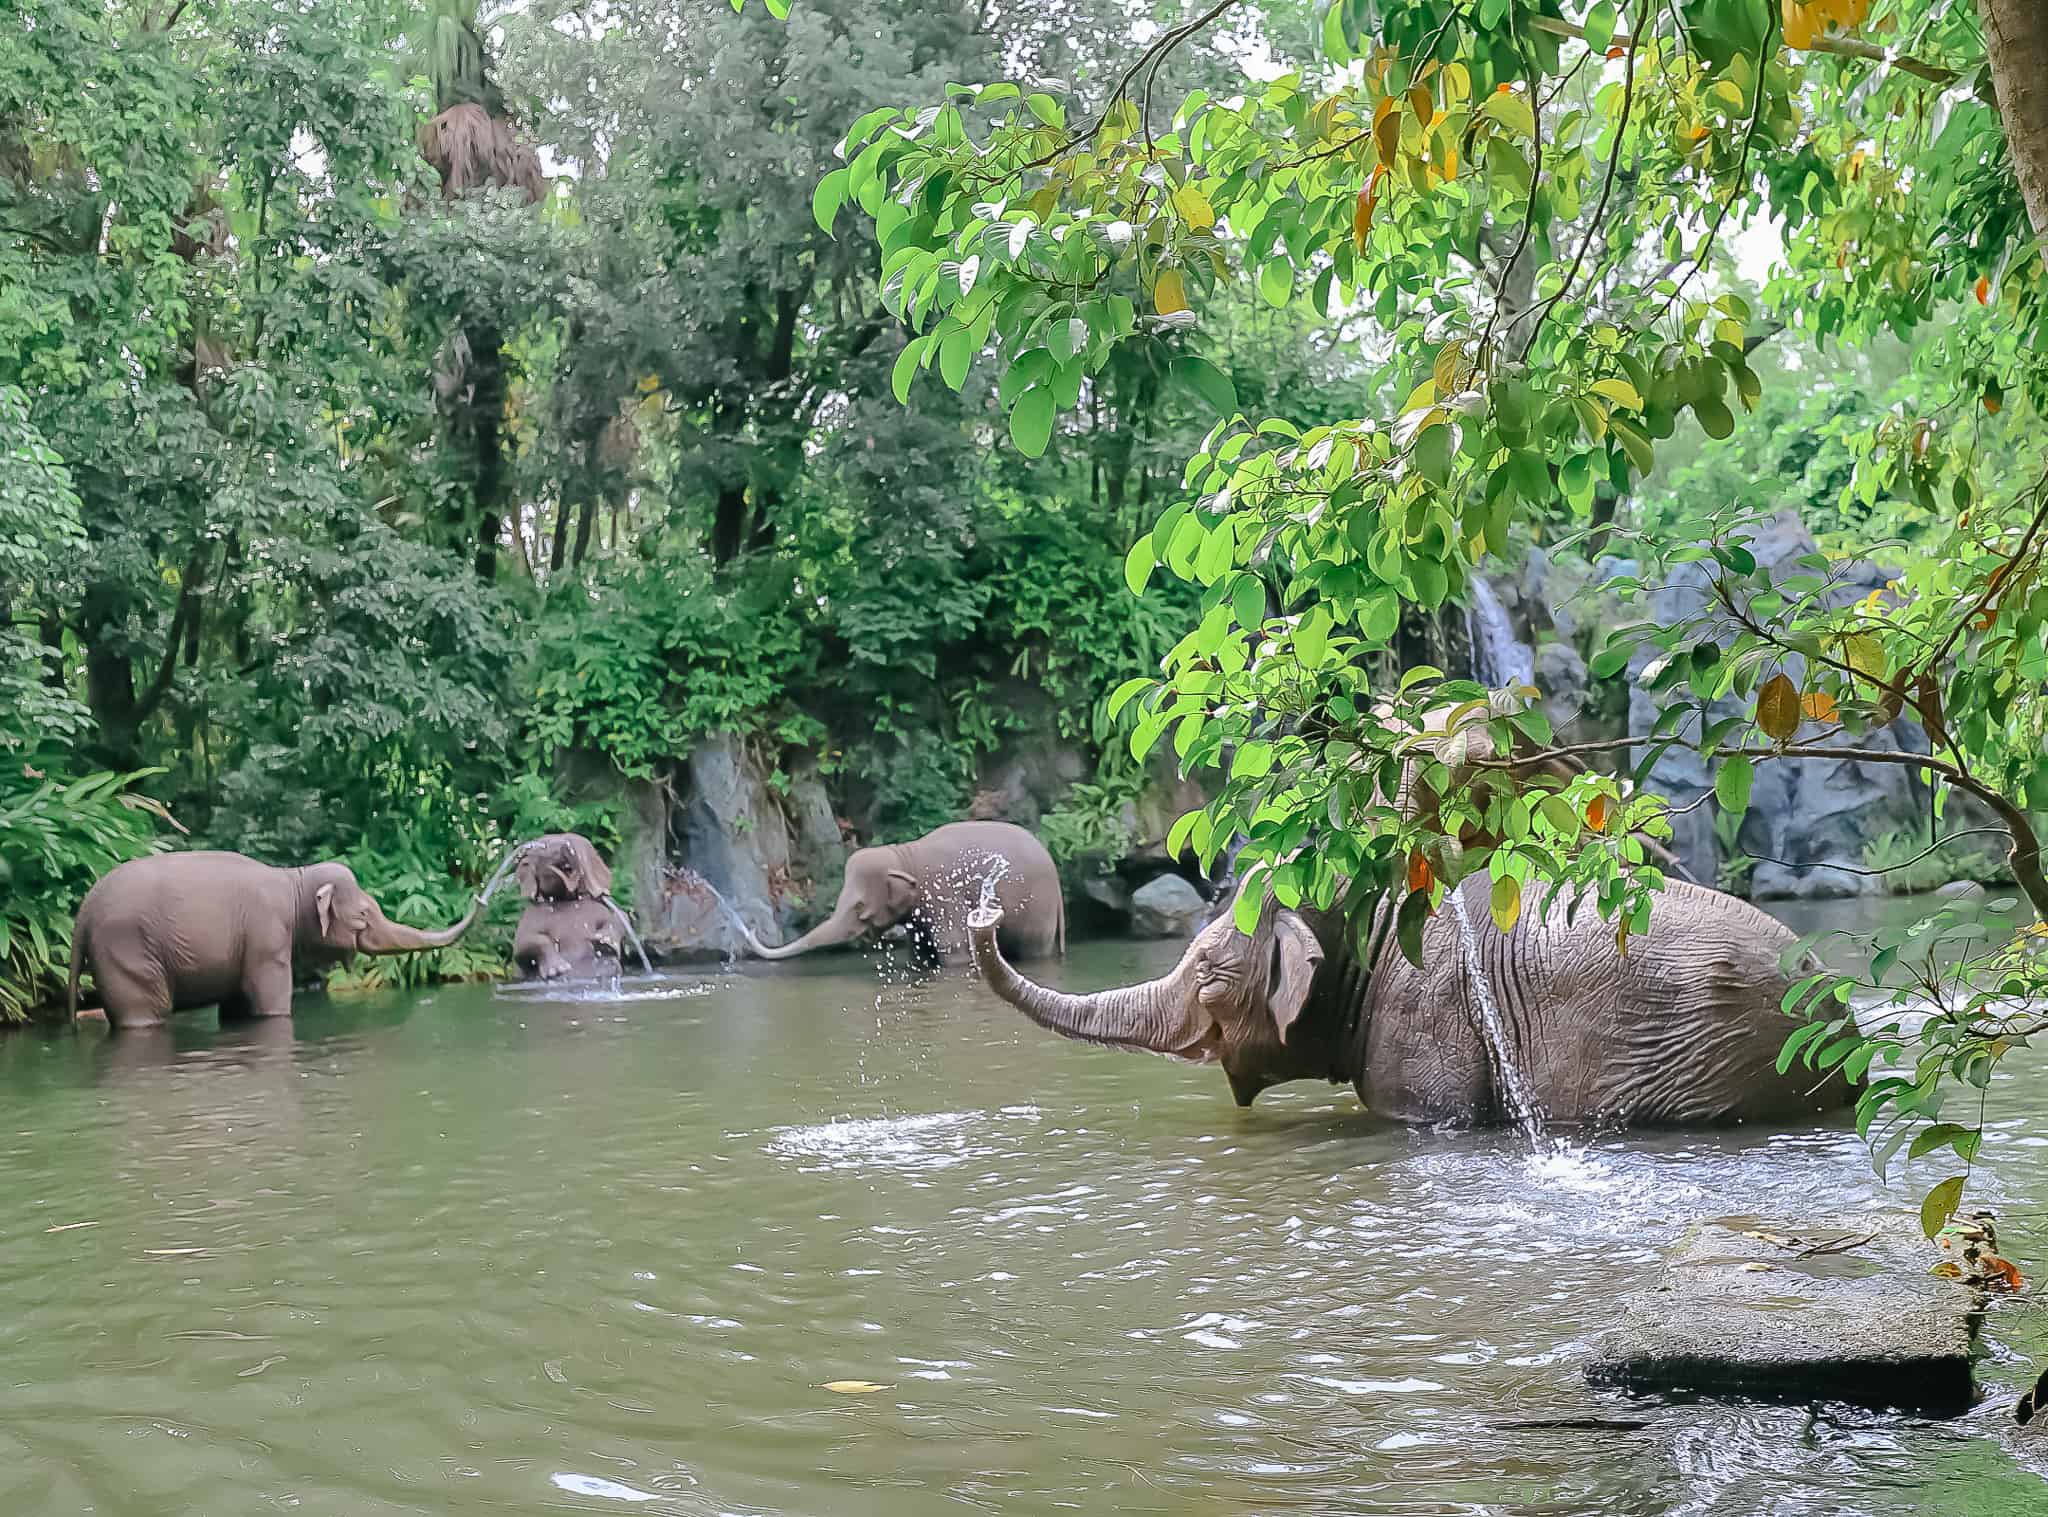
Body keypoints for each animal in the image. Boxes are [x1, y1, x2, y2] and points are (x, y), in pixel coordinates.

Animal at [67, 851, 483, 1027]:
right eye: (365, 914)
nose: (480, 896)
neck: (294, 879)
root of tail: (82, 915)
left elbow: (237, 1006)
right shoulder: (267, 937)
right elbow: (270, 1002)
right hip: (126, 951)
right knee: (143, 1013)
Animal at [737, 822, 1064, 966]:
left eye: (859, 906)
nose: (749, 927)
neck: (905, 855)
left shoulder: (945, 896)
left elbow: (953, 949)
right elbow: (919, 952)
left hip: (1038, 911)